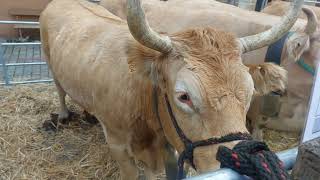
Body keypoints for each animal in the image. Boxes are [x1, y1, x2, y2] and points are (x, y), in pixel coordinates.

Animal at [40, 0, 300, 178]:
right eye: (184, 97)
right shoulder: (118, 145)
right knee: (60, 90)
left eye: (249, 92)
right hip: (49, 62)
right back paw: (63, 115)